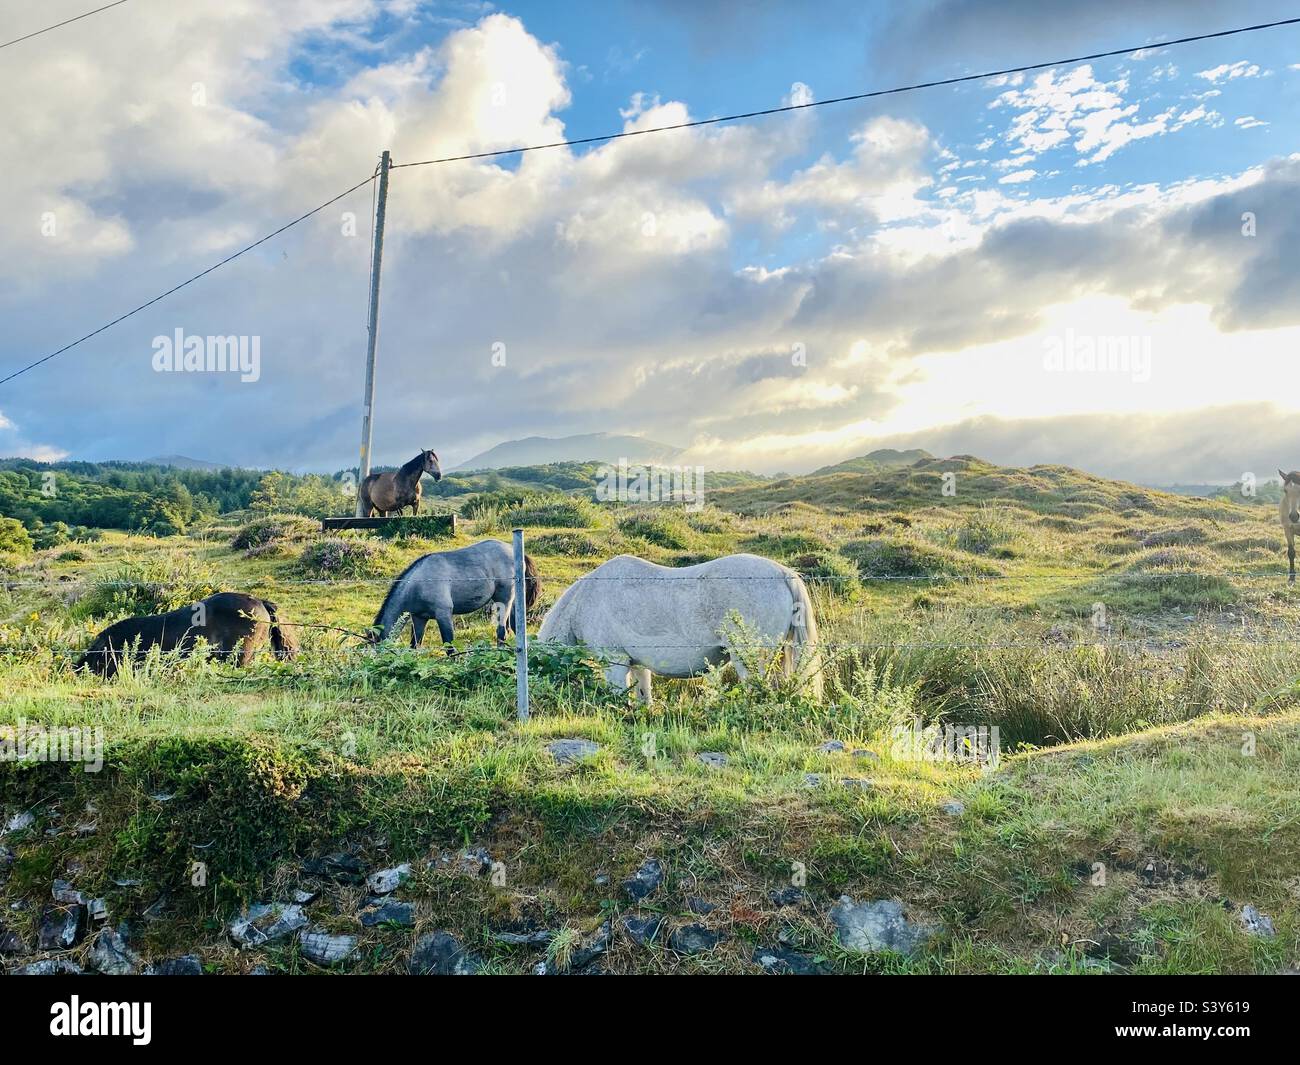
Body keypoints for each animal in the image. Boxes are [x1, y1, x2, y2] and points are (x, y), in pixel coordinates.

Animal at [371, 540, 538, 650]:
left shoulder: (443, 614)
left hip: (504, 600)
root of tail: (513, 550)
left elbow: (449, 645)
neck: (419, 583)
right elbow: (415, 644)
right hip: (514, 602)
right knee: (516, 626)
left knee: (502, 631)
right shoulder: (419, 618)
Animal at [538, 553, 821, 702]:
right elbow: (644, 695)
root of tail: (783, 573)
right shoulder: (638, 664)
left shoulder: (615, 662)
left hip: (749, 658)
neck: (585, 599)